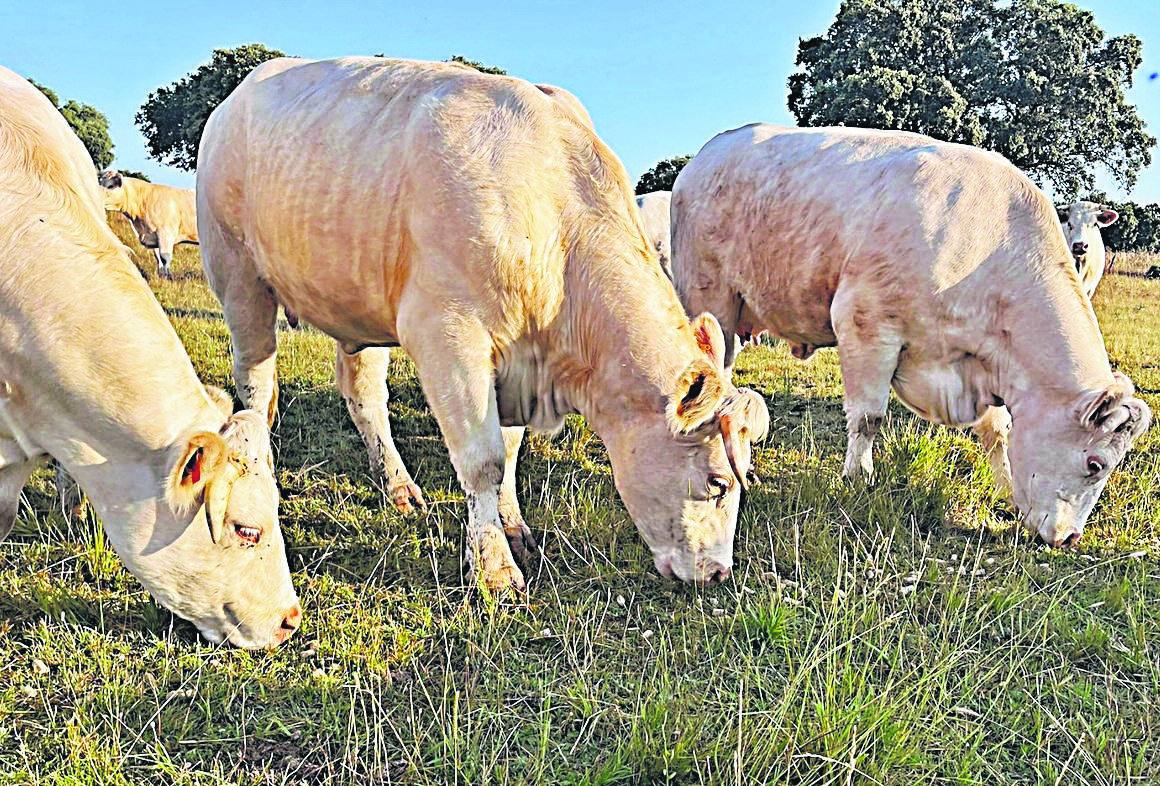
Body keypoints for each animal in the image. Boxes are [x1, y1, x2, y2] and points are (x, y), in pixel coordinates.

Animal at [197, 55, 770, 591]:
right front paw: (494, 570)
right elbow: (484, 461)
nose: (718, 574)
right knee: (255, 382)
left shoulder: (517, 361)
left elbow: (510, 451)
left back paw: (398, 487)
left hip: (356, 300)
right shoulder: (448, 337)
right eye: (717, 483)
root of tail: (241, 92)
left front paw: (514, 526)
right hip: (238, 275)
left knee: (364, 397)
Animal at [672, 126, 1150, 551]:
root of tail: (709, 153)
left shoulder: (983, 362)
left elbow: (998, 431)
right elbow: (868, 418)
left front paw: (1006, 489)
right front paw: (858, 479)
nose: (1069, 539)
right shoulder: (865, 324)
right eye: (1095, 464)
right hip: (710, 300)